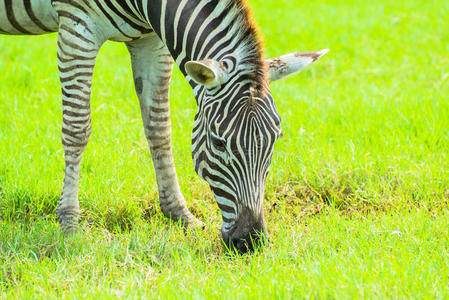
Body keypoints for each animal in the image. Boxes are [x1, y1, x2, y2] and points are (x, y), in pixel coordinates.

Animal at [1, 0, 328, 253]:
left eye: (276, 140)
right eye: (219, 143)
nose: (249, 242)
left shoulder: (152, 40)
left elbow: (159, 129)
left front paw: (179, 214)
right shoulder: (77, 26)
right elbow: (76, 129)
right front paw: (68, 222)